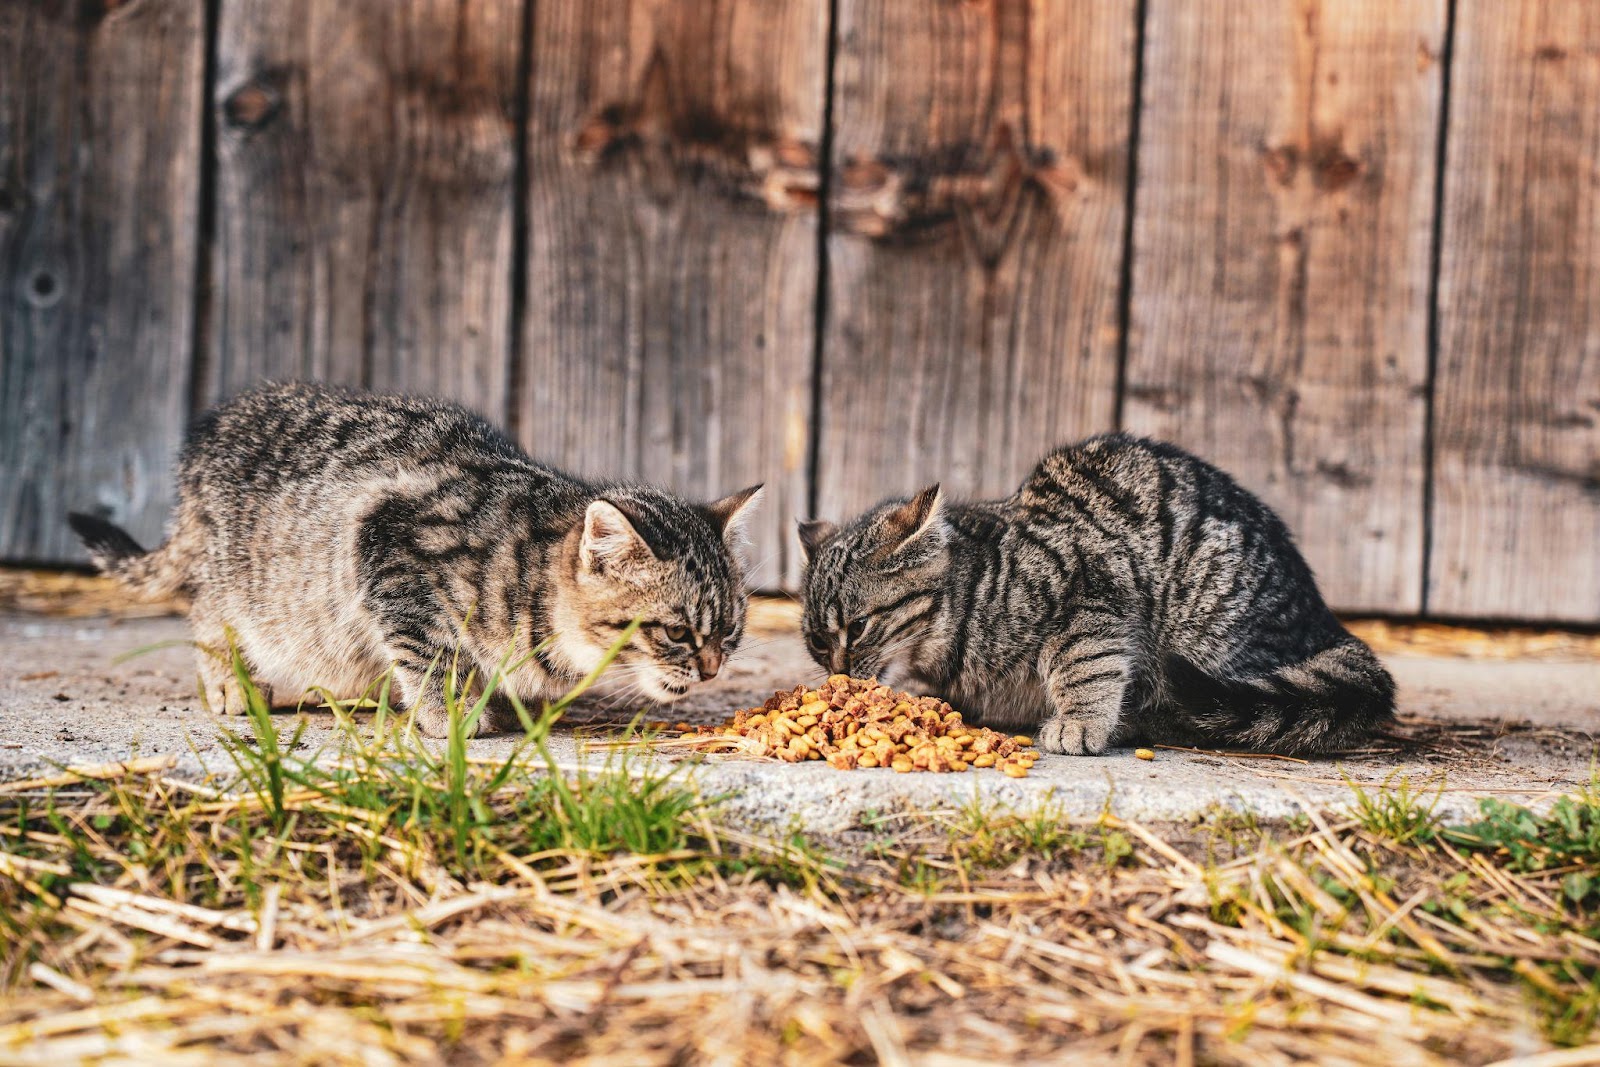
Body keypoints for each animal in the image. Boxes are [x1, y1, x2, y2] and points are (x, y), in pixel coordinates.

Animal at [67, 379, 755, 739]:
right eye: (676, 633)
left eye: (729, 632)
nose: (712, 669)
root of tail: (213, 432)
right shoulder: (385, 545)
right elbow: (430, 650)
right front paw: (452, 713)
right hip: (244, 576)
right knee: (208, 612)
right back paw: (233, 681)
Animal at [806, 435, 1395, 758]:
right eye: (816, 642)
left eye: (857, 627)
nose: (837, 673)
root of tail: (1327, 623)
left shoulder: (1092, 591)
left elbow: (1084, 664)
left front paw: (1080, 721)